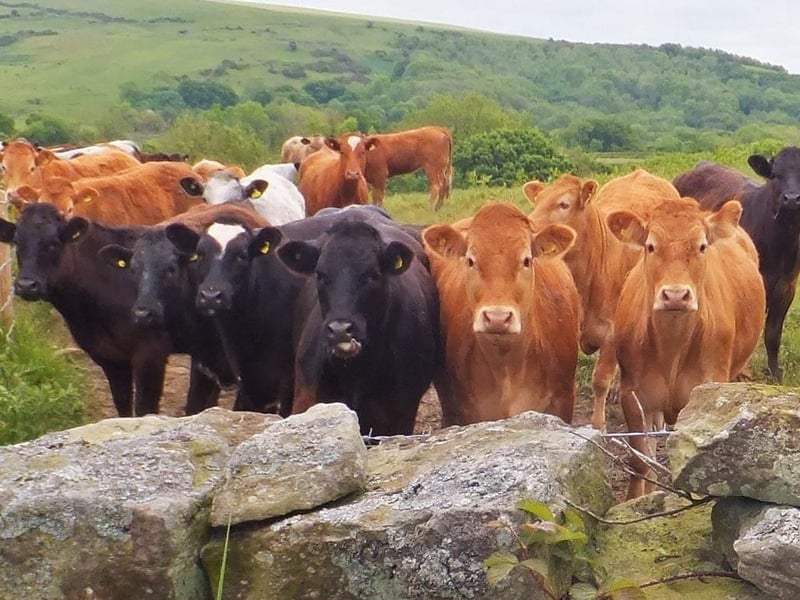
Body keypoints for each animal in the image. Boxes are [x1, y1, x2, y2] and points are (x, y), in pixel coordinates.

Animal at [0, 202, 172, 417]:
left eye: (53, 243)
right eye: (17, 242)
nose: (26, 285)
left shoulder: (151, 352)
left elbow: (144, 409)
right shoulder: (110, 357)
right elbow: (122, 404)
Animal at [525, 169, 680, 429]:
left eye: (564, 204)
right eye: (537, 201)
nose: (530, 227)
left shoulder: (611, 332)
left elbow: (600, 380)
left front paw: (598, 426)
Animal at [607, 196, 765, 498]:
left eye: (701, 246)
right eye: (650, 246)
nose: (676, 295)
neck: (672, 348)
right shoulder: (632, 396)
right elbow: (639, 460)